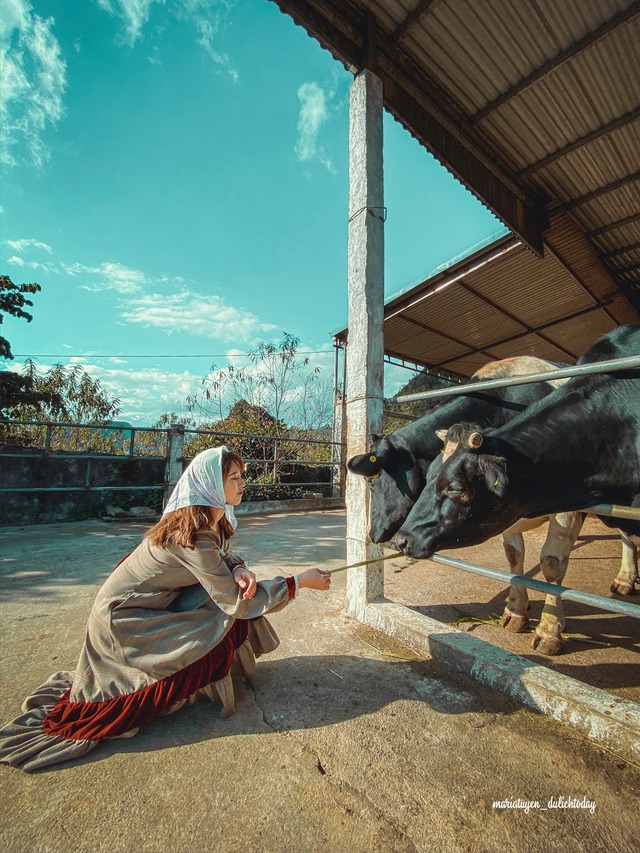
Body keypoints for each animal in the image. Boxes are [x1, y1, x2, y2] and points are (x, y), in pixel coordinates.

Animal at [398, 324, 636, 652]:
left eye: (456, 486)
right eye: (429, 475)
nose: (402, 539)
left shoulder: (569, 509)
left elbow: (551, 563)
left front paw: (550, 630)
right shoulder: (507, 510)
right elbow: (513, 555)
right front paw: (515, 611)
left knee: (626, 533)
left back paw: (625, 578)